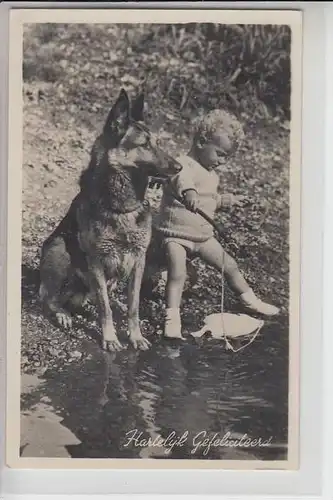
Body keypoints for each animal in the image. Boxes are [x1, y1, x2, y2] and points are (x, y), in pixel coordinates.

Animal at [39, 89, 182, 352]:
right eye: (144, 144)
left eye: (158, 143)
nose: (179, 167)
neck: (122, 207)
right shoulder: (96, 261)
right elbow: (104, 308)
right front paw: (110, 338)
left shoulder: (138, 260)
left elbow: (133, 306)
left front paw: (135, 336)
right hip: (59, 248)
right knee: (48, 298)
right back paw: (62, 313)